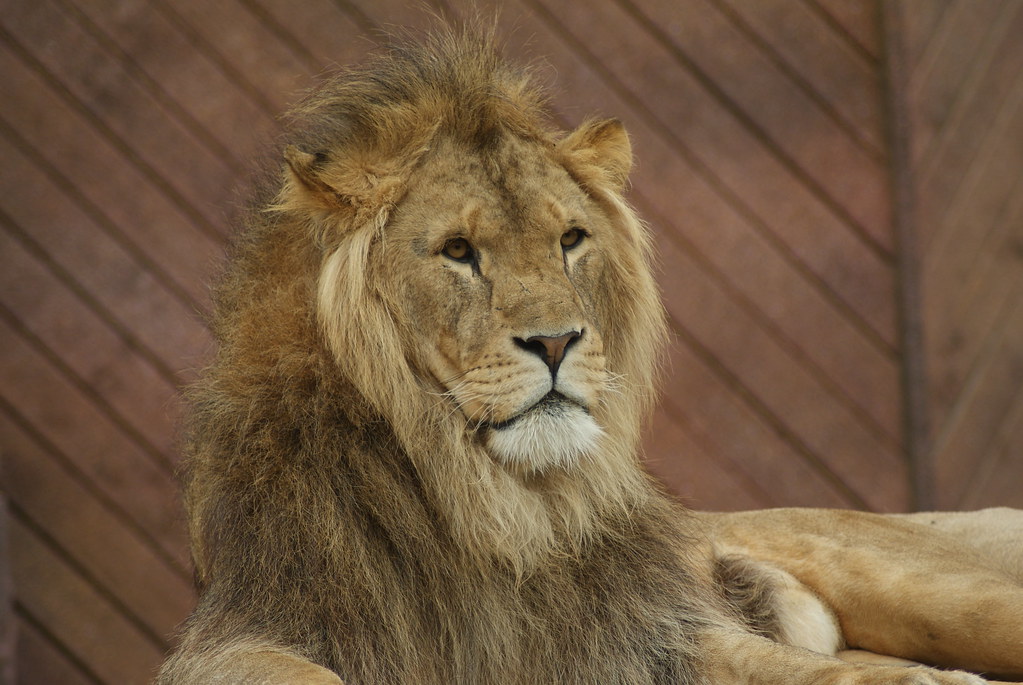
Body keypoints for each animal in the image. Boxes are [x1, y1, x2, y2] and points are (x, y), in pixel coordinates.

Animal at [157, 27, 1023, 685]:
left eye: (570, 239)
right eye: (457, 250)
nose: (555, 341)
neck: (492, 511)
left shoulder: (644, 628)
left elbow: (797, 664)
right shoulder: (248, 625)